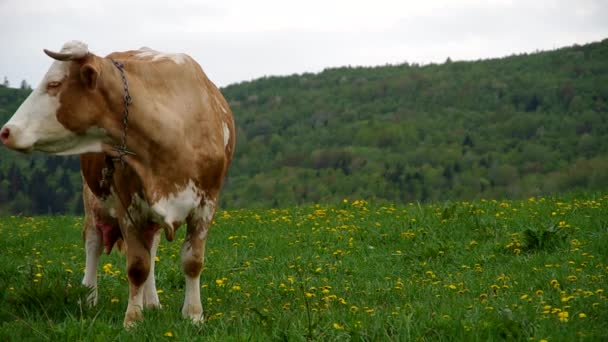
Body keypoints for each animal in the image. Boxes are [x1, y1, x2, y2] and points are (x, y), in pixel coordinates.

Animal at [0, 40, 235, 328]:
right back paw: (89, 298)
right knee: (93, 243)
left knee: (151, 247)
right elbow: (137, 266)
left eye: (54, 84)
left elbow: (191, 261)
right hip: (93, 201)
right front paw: (132, 320)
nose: (6, 131)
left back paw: (152, 302)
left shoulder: (206, 204)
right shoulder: (127, 206)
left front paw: (193, 315)